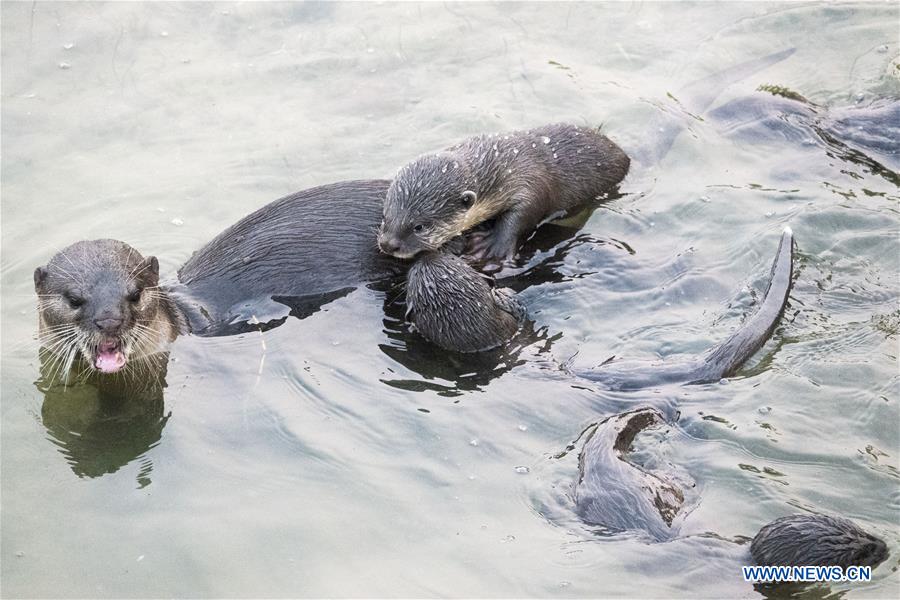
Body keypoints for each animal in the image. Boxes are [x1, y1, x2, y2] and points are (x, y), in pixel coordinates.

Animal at [377, 123, 630, 264]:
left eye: (419, 226)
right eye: (385, 217)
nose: (388, 245)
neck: (503, 164)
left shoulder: (530, 182)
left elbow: (526, 213)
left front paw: (492, 246)